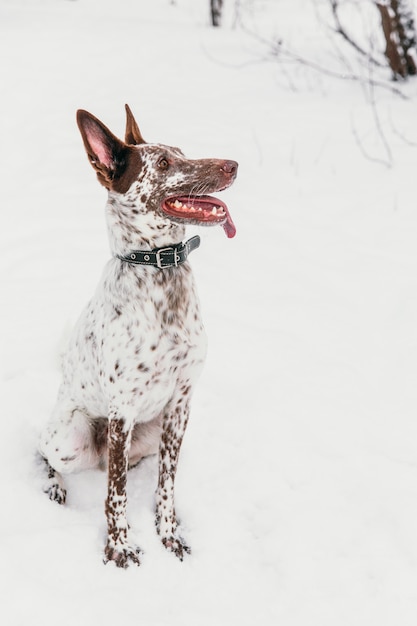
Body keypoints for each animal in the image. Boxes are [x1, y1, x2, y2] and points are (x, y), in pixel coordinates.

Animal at [39, 103, 237, 564]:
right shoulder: (121, 411)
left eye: (182, 152)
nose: (233, 165)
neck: (160, 268)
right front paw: (119, 546)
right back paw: (56, 484)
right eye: (162, 163)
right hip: (70, 436)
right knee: (48, 454)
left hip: (150, 430)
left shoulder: (180, 405)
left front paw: (168, 532)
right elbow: (116, 494)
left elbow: (166, 482)